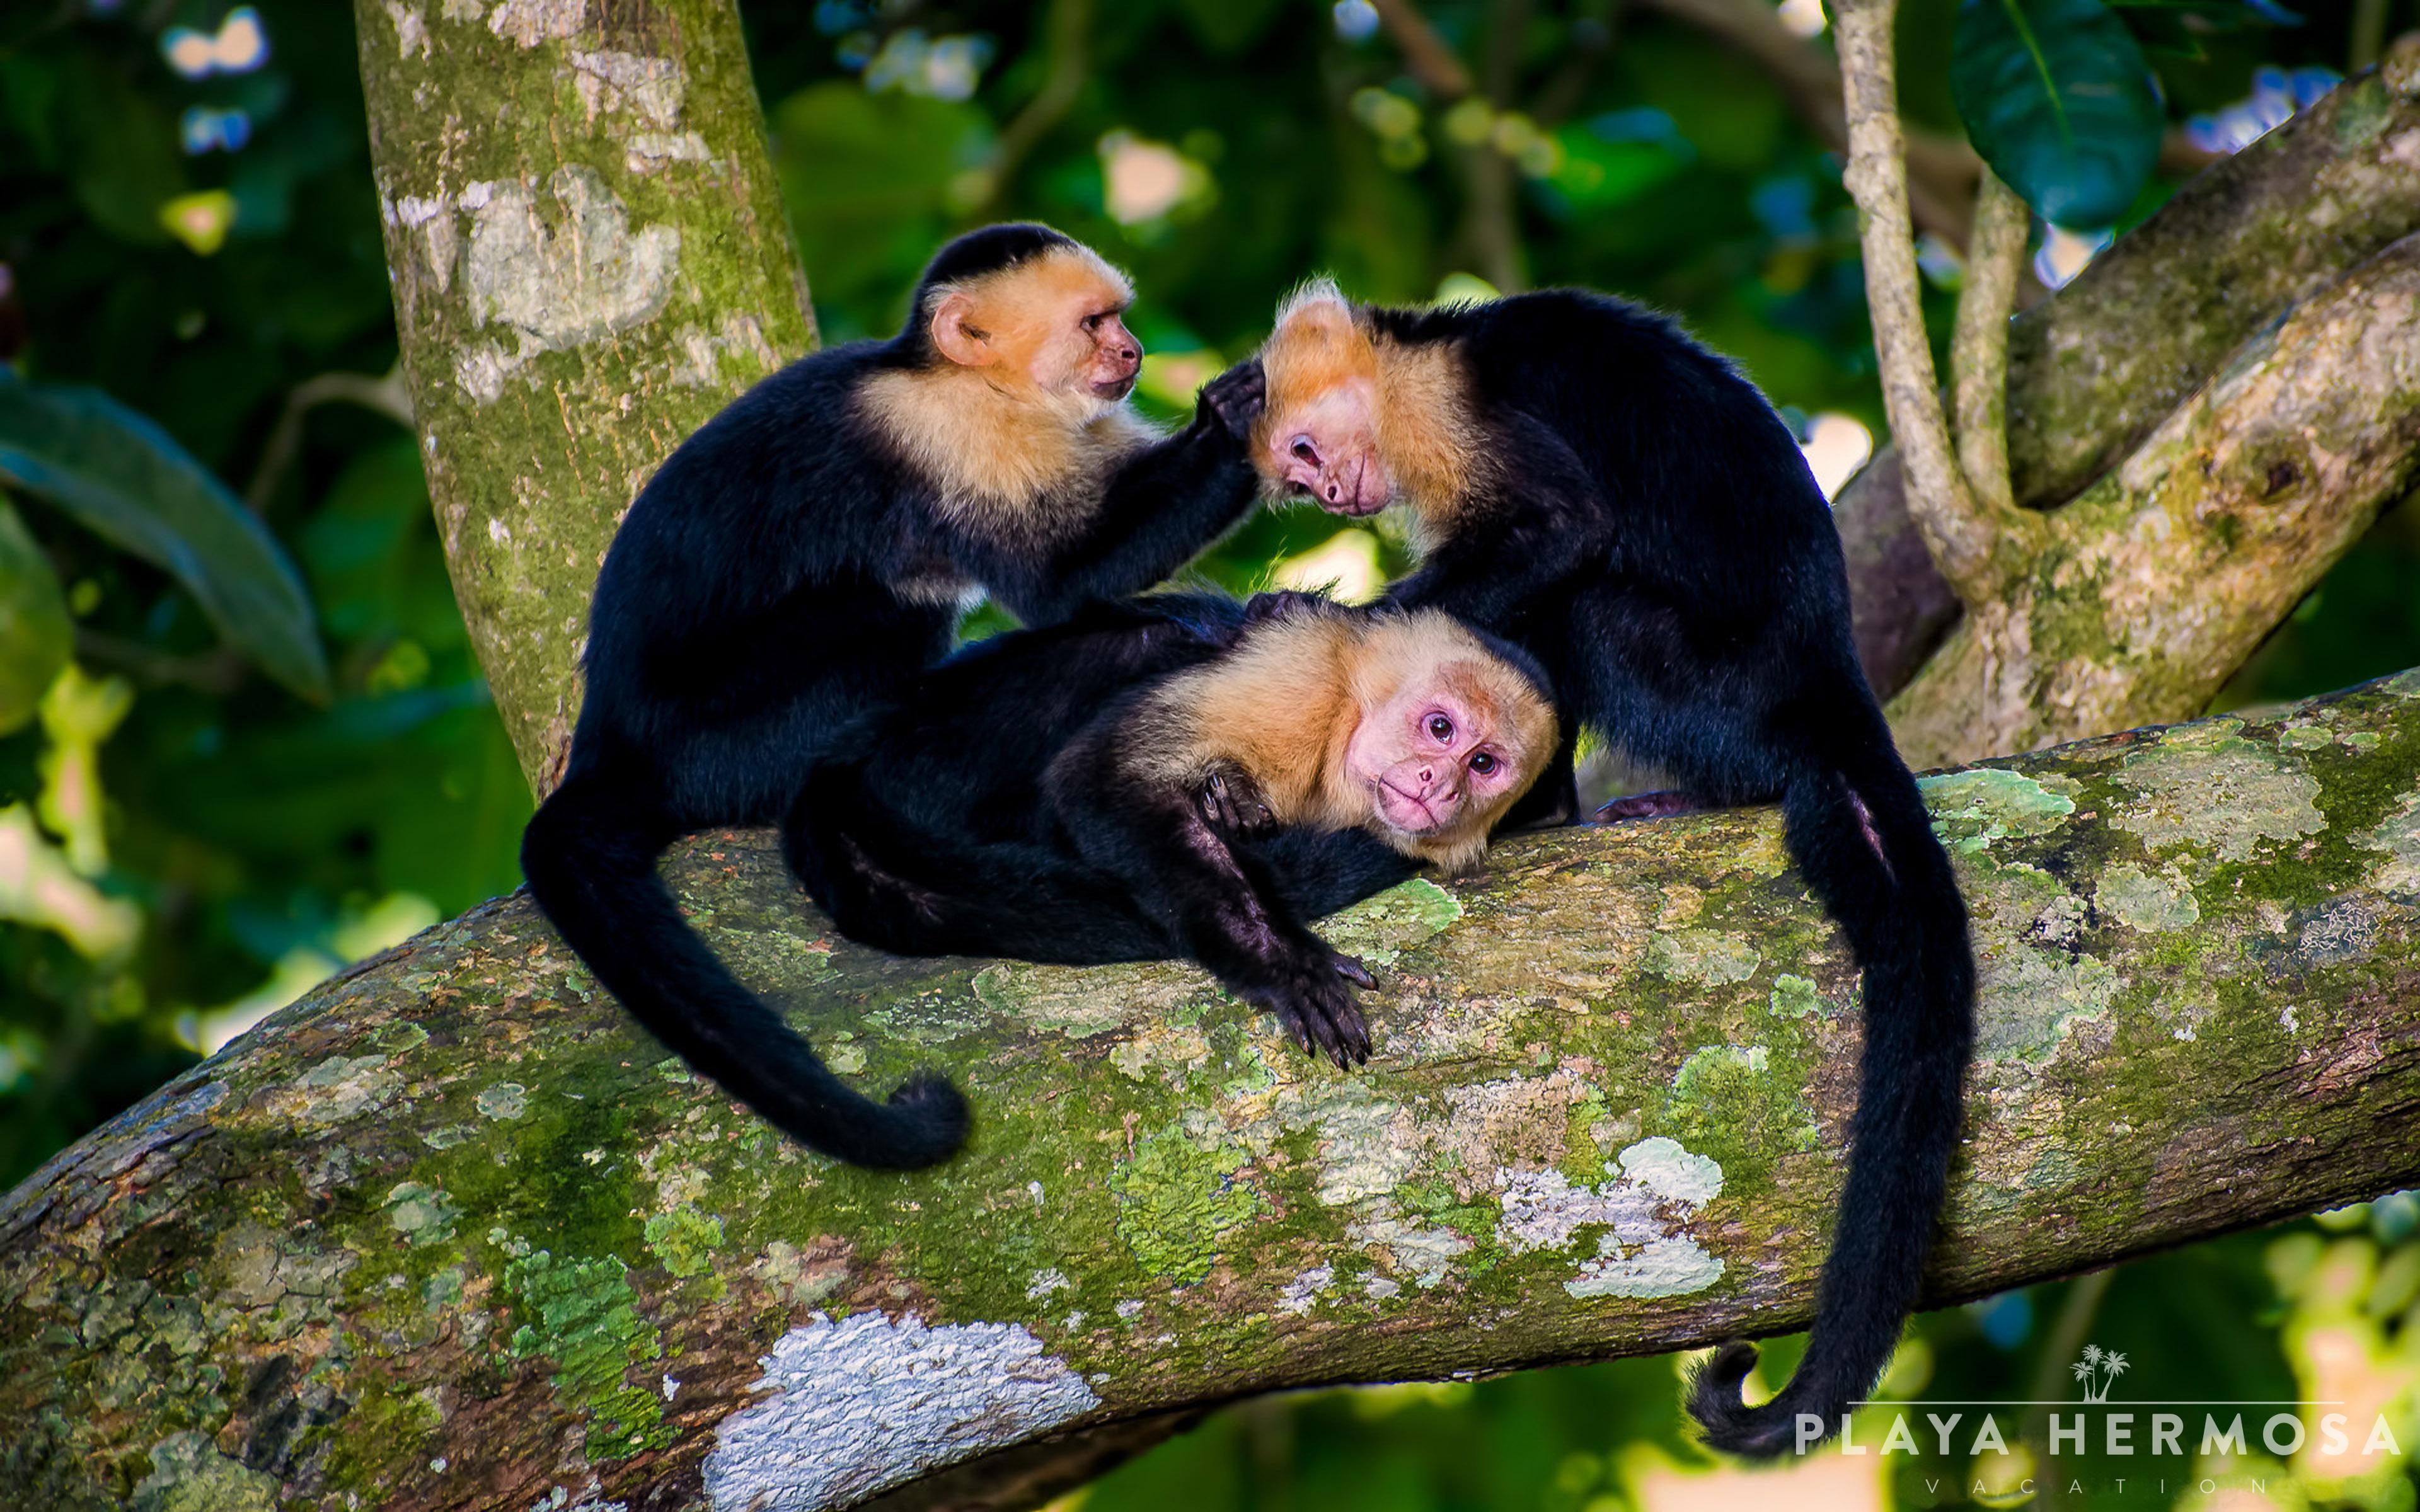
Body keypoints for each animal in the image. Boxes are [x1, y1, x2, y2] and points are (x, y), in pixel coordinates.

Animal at [517, 225, 1267, 1171]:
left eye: (1119, 320)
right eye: (1094, 323)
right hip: (724, 742)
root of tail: (606, 747)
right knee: (886, 611)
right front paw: (1237, 417)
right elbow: (1062, 579)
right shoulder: (948, 435)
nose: (1133, 352)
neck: (965, 382)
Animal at [786, 591, 1558, 1067]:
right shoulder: (1304, 676)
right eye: (1440, 728)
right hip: (940, 752)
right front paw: (1281, 961)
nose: (1438, 784)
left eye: (1483, 764)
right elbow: (1100, 775)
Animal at [1245, 281, 1976, 1456]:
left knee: (1580, 609)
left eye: (1308, 450)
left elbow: (1560, 530)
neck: (1415, 357)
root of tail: (1830, 678)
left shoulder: (1446, 409)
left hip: (1709, 684)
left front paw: (1332, 617)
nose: (1334, 492)